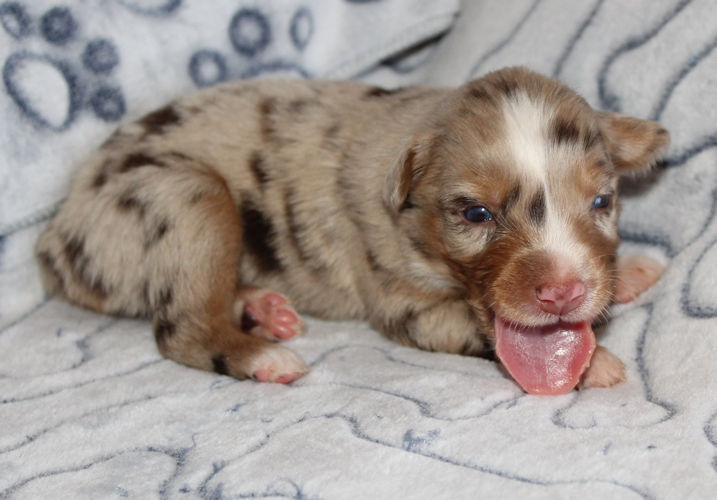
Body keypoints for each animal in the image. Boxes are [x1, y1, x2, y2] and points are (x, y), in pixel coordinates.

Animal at [37, 66, 664, 394]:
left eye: (602, 202)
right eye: (476, 215)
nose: (564, 292)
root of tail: (56, 237)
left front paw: (628, 271)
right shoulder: (403, 305)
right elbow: (468, 327)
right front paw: (594, 364)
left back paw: (262, 306)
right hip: (185, 196)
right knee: (182, 325)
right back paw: (261, 355)